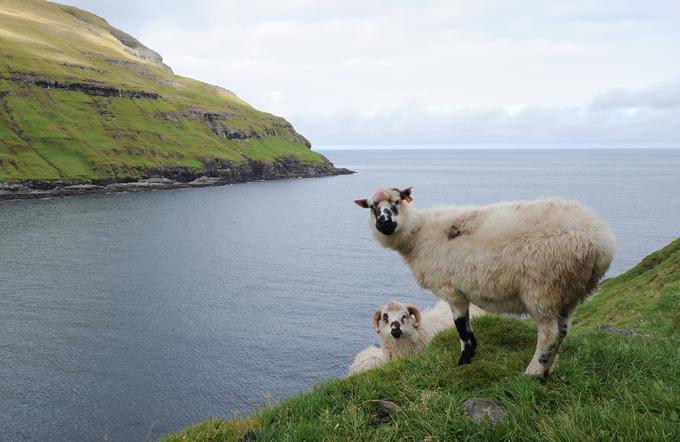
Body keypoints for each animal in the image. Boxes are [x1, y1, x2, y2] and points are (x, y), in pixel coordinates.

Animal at [356, 186, 616, 376]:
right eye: (372, 207)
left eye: (397, 201)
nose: (384, 223)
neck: (418, 234)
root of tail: (602, 243)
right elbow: (467, 328)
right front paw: (470, 356)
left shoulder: (452, 291)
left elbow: (461, 328)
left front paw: (464, 360)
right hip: (568, 293)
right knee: (562, 332)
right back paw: (548, 369)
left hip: (544, 288)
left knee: (549, 335)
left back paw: (533, 373)